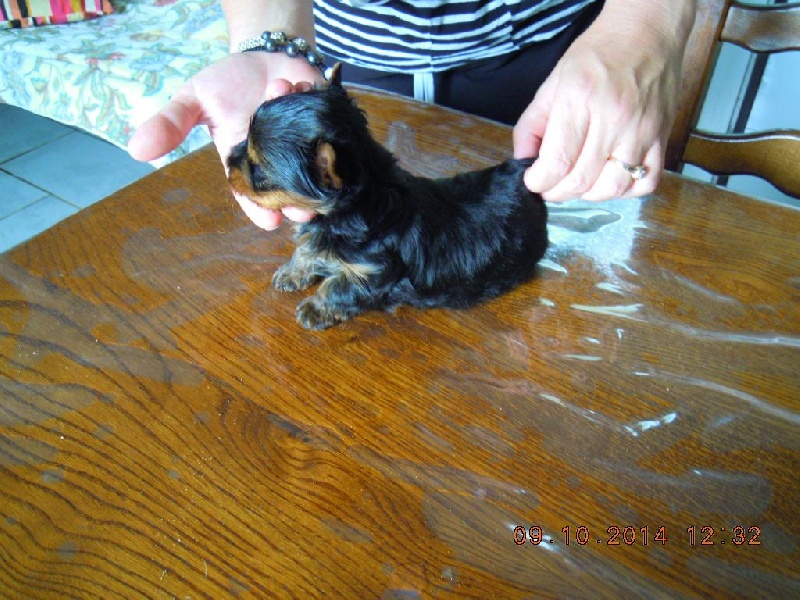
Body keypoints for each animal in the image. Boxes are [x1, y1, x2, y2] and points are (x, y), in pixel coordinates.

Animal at [227, 64, 548, 330]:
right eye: (245, 141)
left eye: (259, 168)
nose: (229, 161)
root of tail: (520, 174)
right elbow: (307, 249)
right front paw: (293, 272)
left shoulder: (373, 271)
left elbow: (338, 288)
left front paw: (314, 309)